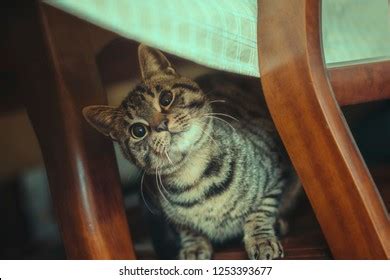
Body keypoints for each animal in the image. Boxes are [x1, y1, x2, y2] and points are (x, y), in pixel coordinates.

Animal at [84, 44, 300, 260]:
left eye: (166, 99)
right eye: (138, 131)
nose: (161, 125)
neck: (195, 176)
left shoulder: (275, 172)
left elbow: (260, 211)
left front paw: (260, 239)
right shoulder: (165, 212)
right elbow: (185, 228)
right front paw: (194, 247)